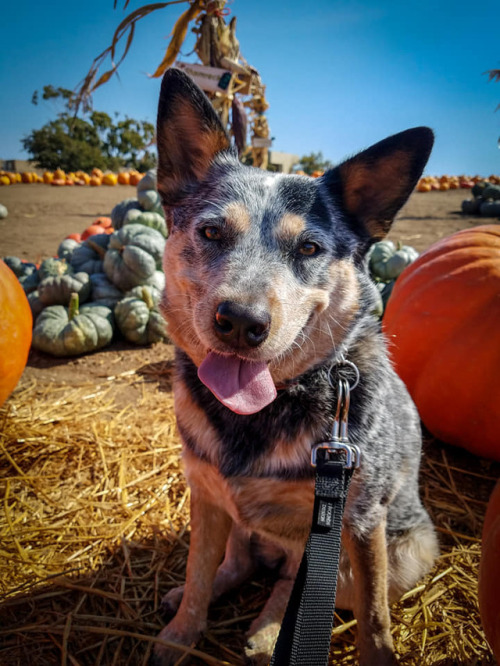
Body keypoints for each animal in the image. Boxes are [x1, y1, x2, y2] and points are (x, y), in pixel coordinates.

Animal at [151, 68, 438, 664]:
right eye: (211, 232)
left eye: (308, 247)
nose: (240, 321)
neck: (267, 408)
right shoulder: (206, 496)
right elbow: (196, 573)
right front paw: (180, 635)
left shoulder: (359, 520)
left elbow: (373, 618)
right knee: (236, 561)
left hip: (402, 547)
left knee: (298, 584)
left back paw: (265, 633)